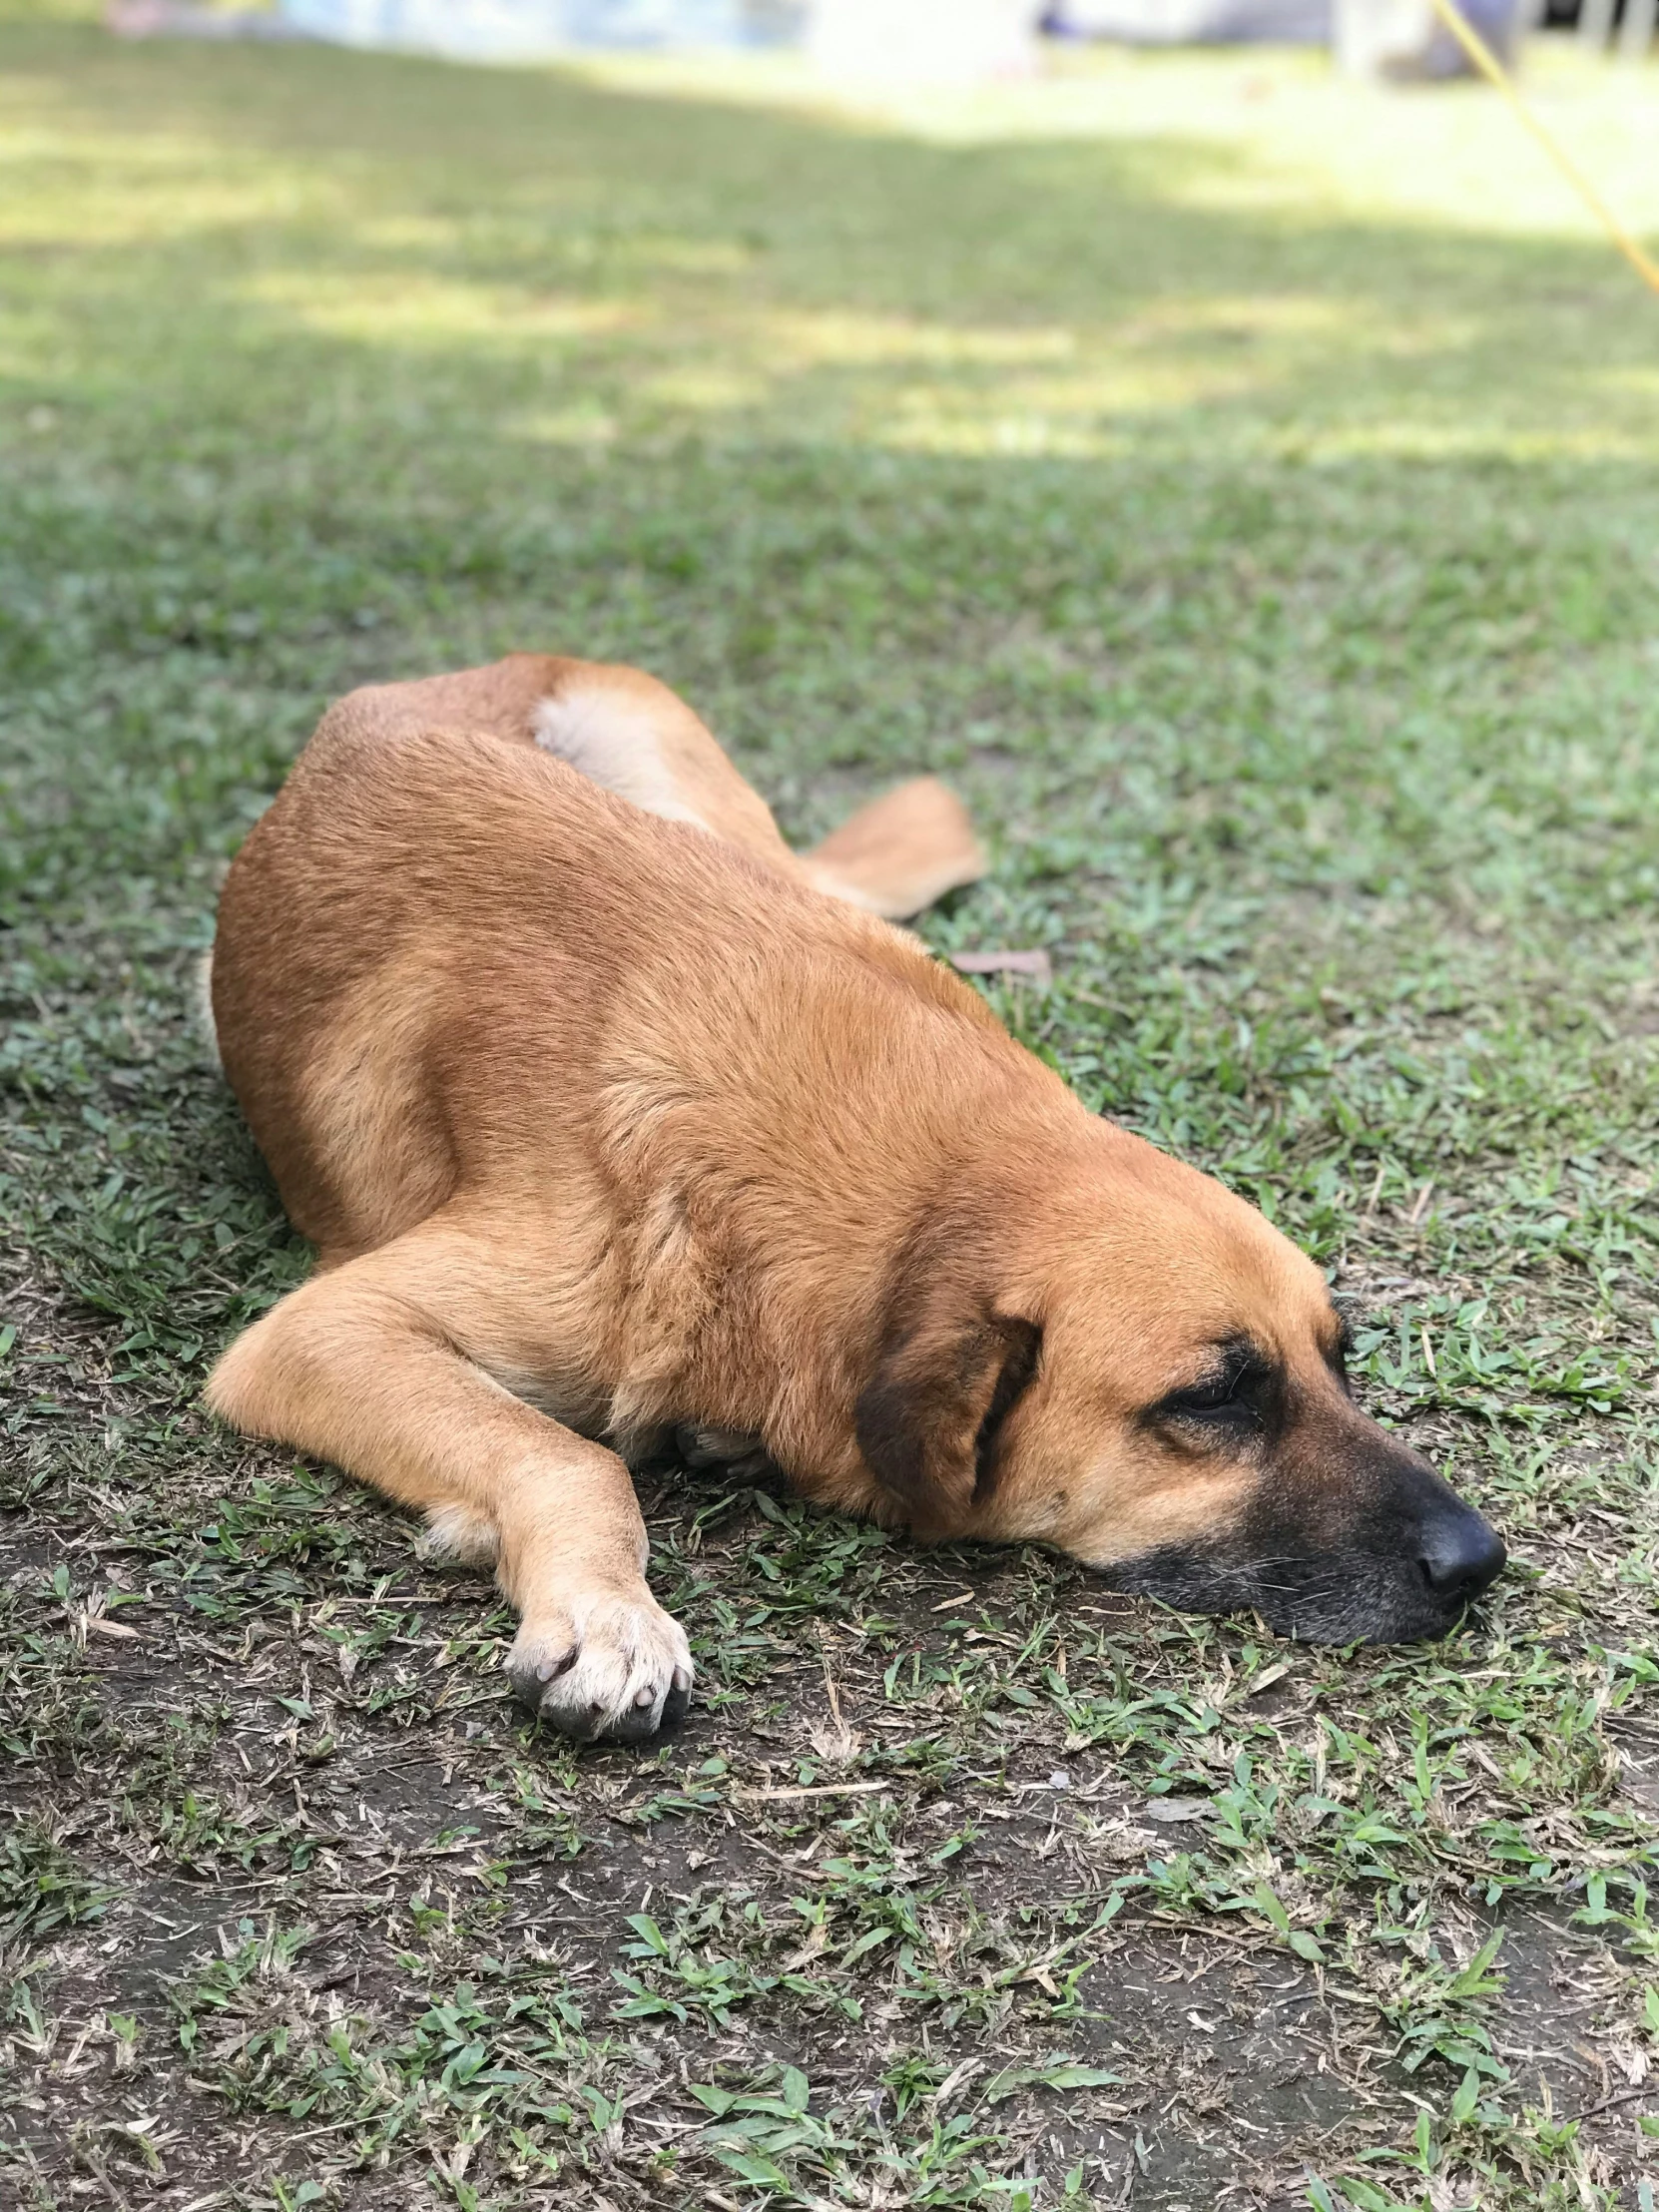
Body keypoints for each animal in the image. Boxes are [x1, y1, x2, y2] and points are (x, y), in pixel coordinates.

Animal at [204, 654, 1503, 1743]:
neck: (917, 1195)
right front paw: (608, 1610)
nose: (1481, 1560)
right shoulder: (324, 1329)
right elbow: (568, 1456)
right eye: (1216, 1396)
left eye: (1340, 1358)